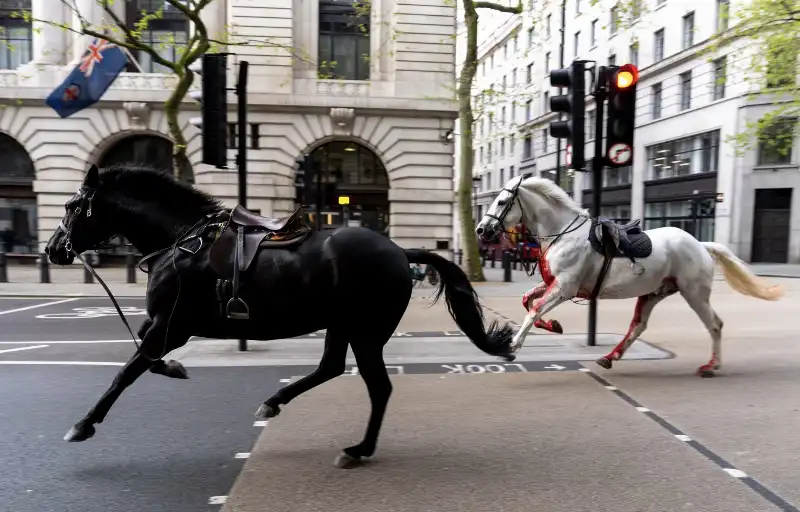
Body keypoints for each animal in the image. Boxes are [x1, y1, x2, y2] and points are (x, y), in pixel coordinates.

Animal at [47, 165, 516, 468]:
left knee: (378, 387)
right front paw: (175, 368)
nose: (53, 250)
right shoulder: (163, 325)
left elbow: (126, 371)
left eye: (71, 206)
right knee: (330, 367)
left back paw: (358, 449)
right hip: (342, 326)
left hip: (366, 332)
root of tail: (401, 251)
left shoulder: (171, 325)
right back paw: (276, 402)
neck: (181, 241)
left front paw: (83, 424)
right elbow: (142, 358)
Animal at [476, 176, 780, 376]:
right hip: (654, 293)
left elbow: (534, 309)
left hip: (694, 293)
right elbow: (527, 300)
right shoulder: (554, 284)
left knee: (715, 324)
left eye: (502, 201)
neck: (562, 233)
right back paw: (611, 357)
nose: (481, 230)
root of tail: (701, 245)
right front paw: (554, 325)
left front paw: (512, 346)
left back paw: (711, 365)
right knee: (638, 326)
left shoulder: (565, 287)